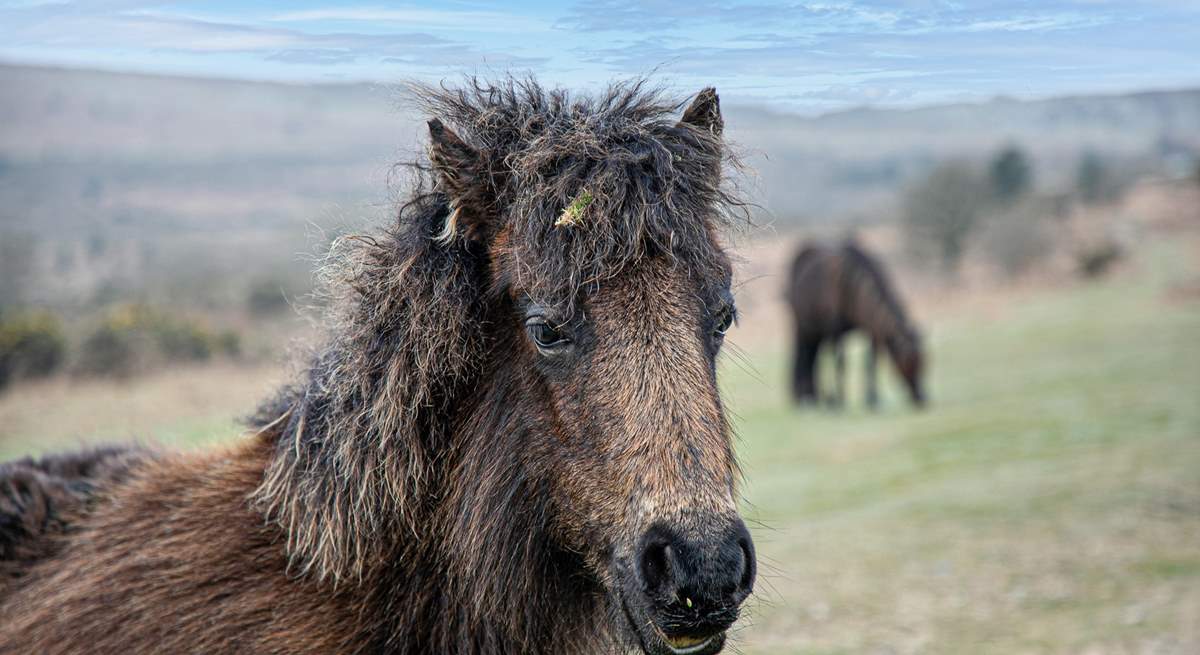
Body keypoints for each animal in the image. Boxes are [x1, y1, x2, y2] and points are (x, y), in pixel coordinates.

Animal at [787, 237, 926, 405]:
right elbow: (841, 363)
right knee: (803, 358)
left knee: (814, 360)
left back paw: (816, 397)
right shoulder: (836, 332)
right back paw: (807, 398)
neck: (852, 288)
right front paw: (839, 400)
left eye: (925, 362)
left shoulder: (872, 331)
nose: (922, 397)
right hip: (803, 329)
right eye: (908, 363)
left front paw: (872, 399)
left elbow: (871, 363)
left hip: (818, 334)